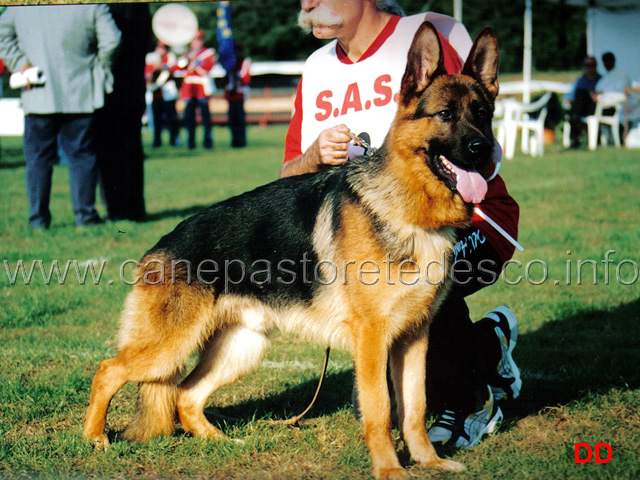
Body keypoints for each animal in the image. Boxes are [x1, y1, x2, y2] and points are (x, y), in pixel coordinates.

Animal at [85, 22, 502, 480]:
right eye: (445, 115)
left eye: (483, 114)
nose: (483, 150)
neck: (405, 204)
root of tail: (160, 246)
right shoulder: (373, 339)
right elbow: (380, 410)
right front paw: (390, 470)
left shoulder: (413, 338)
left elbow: (414, 407)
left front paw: (428, 461)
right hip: (171, 346)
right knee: (108, 371)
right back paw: (95, 439)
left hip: (241, 348)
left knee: (185, 396)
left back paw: (222, 442)